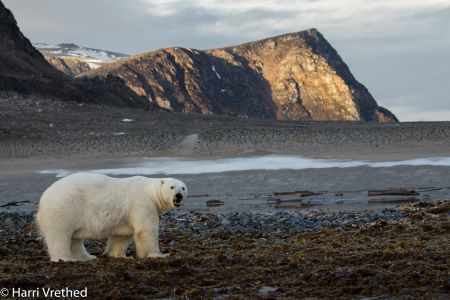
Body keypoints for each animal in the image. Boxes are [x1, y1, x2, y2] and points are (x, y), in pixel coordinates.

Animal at [34, 173, 186, 262]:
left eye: (183, 187)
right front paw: (160, 254)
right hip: (63, 209)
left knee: (74, 238)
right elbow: (146, 230)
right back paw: (66, 259)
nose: (179, 195)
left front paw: (122, 255)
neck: (150, 192)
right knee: (59, 235)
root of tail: (42, 200)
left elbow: (122, 235)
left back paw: (87, 257)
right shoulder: (142, 203)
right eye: (172, 187)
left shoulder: (126, 216)